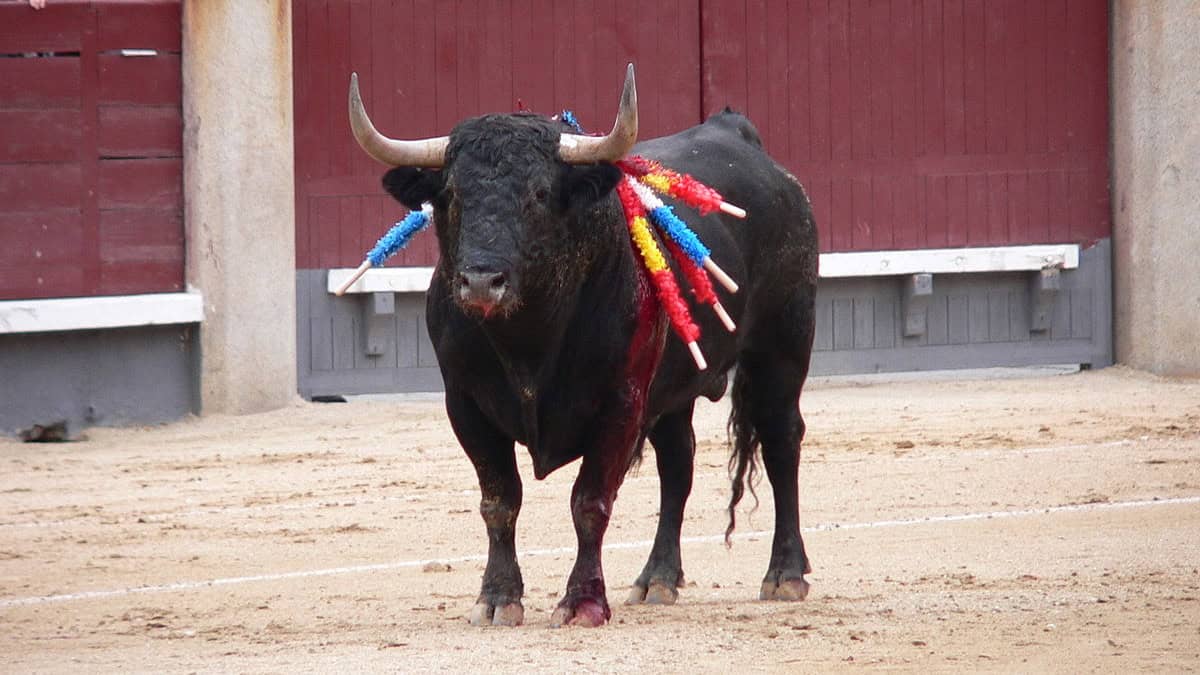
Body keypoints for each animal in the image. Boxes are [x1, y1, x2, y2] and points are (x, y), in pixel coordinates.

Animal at [348, 64, 816, 624]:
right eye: (453, 195)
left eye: (540, 194)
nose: (481, 282)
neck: (527, 339)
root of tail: (742, 139)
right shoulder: (465, 405)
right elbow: (499, 500)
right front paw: (497, 598)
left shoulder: (620, 404)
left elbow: (589, 502)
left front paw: (583, 602)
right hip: (675, 387)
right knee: (677, 463)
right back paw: (657, 578)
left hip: (783, 345)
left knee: (781, 440)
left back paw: (785, 573)